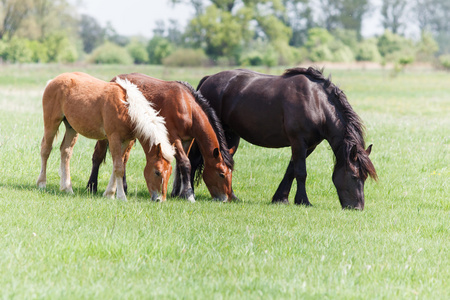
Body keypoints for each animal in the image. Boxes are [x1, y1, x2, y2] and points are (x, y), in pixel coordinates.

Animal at [36, 71, 174, 200]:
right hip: (52, 122)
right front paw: (121, 196)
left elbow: (118, 166)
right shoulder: (114, 138)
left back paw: (67, 188)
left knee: (65, 151)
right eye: (157, 172)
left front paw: (109, 193)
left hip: (71, 128)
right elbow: (118, 168)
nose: (160, 199)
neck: (127, 108)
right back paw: (42, 183)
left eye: (170, 173)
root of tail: (53, 81)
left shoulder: (125, 141)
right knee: (46, 149)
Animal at [85, 73, 236, 202]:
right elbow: (185, 163)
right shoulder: (174, 138)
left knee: (123, 159)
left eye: (231, 174)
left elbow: (181, 165)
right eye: (221, 174)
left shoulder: (187, 140)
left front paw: (177, 193)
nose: (226, 198)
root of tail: (113, 80)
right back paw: (92, 186)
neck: (187, 106)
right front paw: (188, 194)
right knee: (98, 156)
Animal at [185, 67, 378, 210]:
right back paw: (190, 193)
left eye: (364, 178)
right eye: (354, 176)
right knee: (194, 160)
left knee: (226, 161)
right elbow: (301, 172)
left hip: (230, 136)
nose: (357, 207)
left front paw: (281, 198)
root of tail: (208, 79)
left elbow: (291, 170)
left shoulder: (309, 145)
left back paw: (231, 195)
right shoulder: (298, 141)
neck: (316, 102)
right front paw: (303, 201)